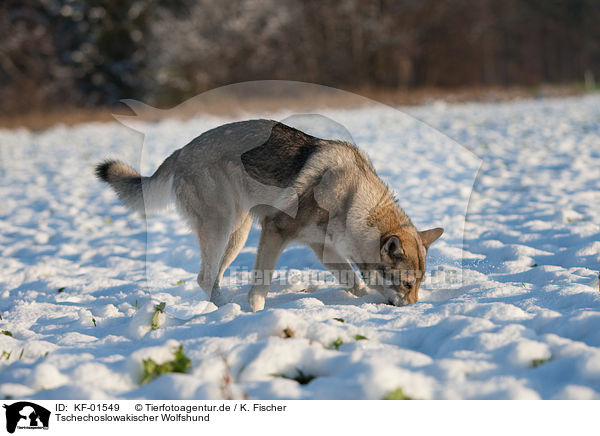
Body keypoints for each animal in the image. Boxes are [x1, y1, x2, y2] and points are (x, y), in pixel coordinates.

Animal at [96, 118, 442, 310]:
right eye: (407, 285)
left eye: (418, 285)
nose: (413, 308)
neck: (350, 196)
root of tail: (180, 152)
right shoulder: (275, 231)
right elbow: (261, 285)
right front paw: (258, 312)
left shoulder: (324, 248)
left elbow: (354, 281)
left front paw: (362, 297)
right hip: (224, 229)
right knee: (204, 277)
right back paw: (228, 312)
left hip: (237, 234)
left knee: (211, 278)